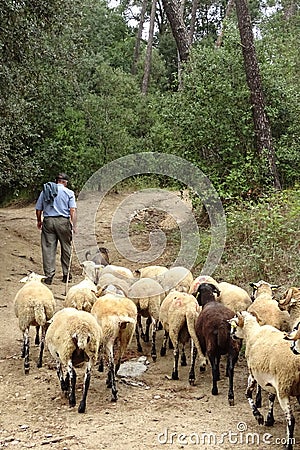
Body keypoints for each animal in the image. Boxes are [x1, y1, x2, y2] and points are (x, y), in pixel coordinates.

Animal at [230, 312, 300, 448]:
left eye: (234, 325)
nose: (231, 335)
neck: (252, 332)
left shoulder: (253, 374)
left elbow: (248, 393)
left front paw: (259, 417)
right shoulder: (271, 382)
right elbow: (271, 397)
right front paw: (269, 419)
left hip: (284, 389)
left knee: (291, 419)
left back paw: (288, 445)